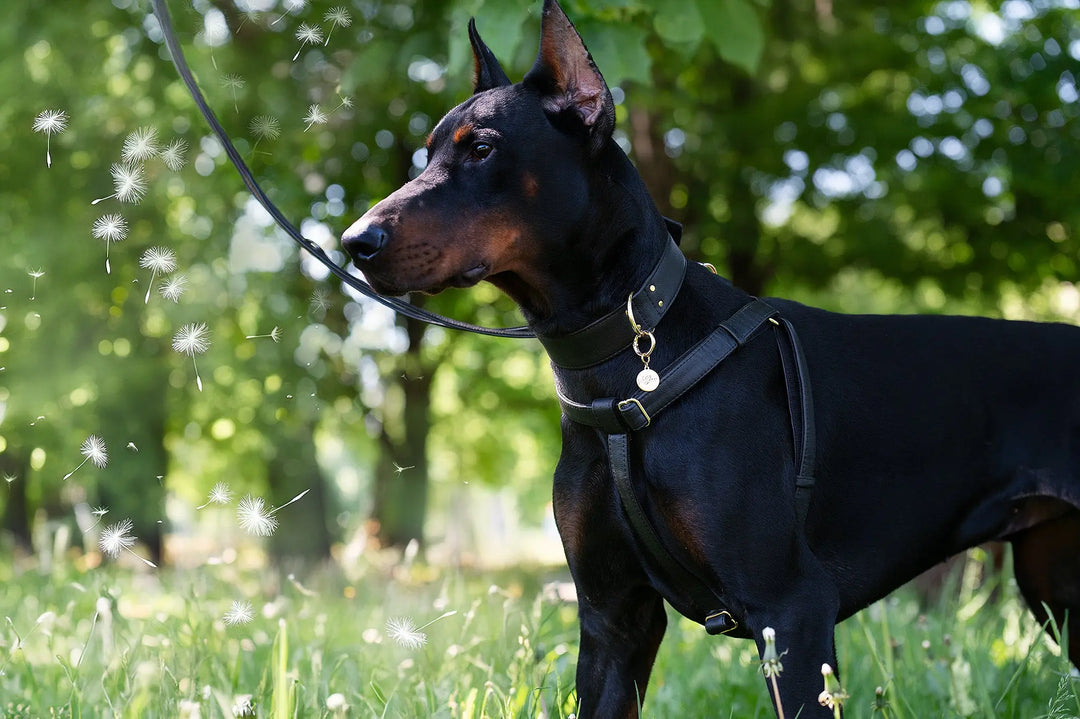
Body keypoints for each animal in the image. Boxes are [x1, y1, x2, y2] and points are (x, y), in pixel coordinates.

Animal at [343, 2, 1080, 712]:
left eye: (482, 147)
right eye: (426, 152)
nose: (355, 240)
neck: (627, 353)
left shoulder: (792, 607)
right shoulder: (613, 617)